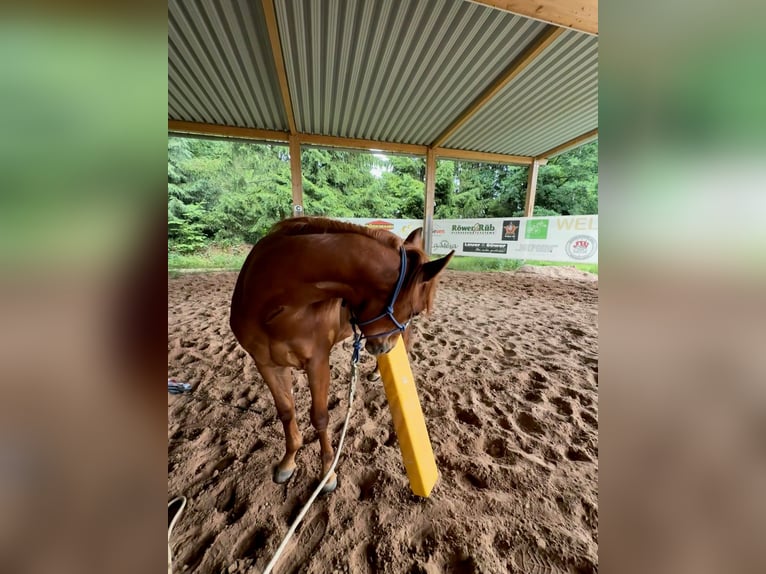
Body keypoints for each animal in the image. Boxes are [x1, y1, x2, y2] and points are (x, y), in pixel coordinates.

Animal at [230, 217, 454, 492]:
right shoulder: (266, 364)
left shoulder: (317, 363)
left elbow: (320, 418)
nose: (382, 348)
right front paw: (288, 462)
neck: (273, 304)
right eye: (414, 310)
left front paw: (327, 473)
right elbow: (286, 412)